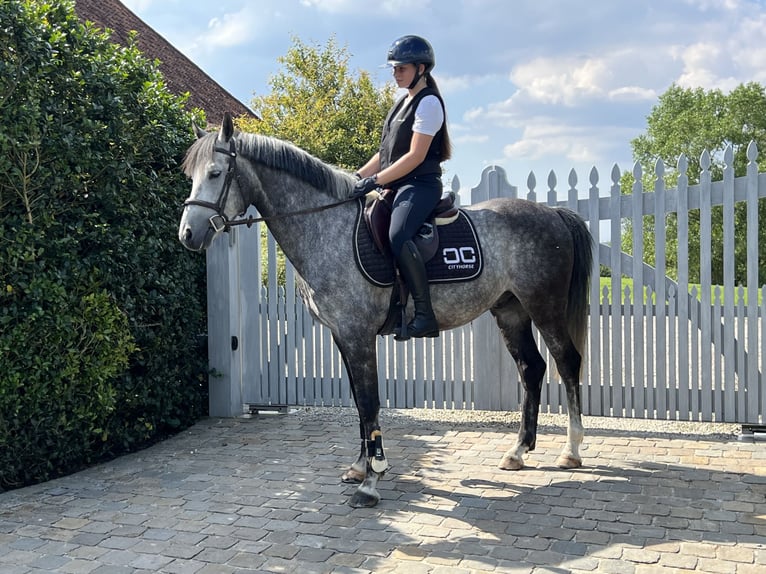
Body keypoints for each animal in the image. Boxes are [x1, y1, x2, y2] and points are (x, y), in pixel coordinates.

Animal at [178, 112, 592, 508]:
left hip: (545, 307)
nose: (187, 234)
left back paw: (571, 450)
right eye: (191, 176)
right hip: (510, 311)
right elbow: (361, 405)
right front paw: (360, 467)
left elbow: (369, 402)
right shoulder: (342, 336)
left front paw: (372, 481)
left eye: (215, 173)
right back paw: (519, 451)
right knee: (531, 368)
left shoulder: (358, 335)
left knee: (567, 362)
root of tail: (553, 213)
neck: (327, 227)